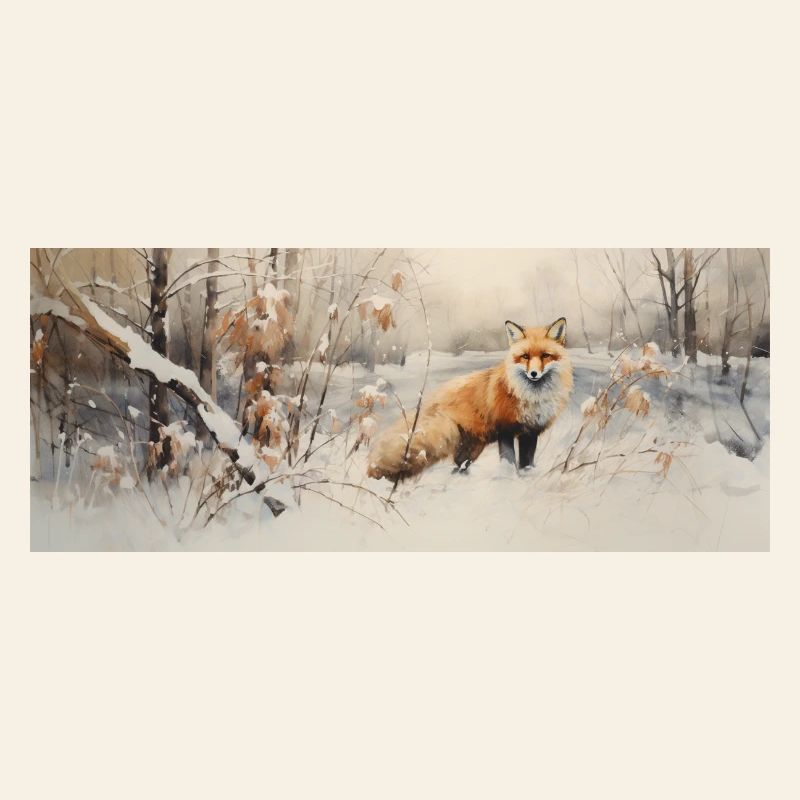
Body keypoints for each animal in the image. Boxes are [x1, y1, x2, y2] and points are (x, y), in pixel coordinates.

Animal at [367, 317, 573, 481]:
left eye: (545, 356)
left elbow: (526, 462)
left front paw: (526, 476)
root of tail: (432, 399)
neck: (531, 397)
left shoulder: (530, 432)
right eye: (525, 356)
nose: (533, 374)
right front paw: (508, 479)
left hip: (471, 448)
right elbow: (508, 460)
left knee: (459, 465)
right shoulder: (505, 429)